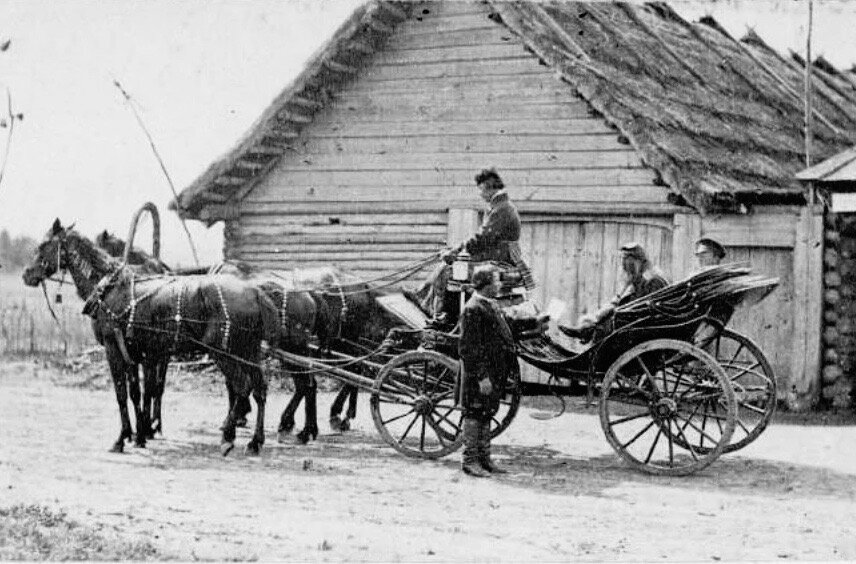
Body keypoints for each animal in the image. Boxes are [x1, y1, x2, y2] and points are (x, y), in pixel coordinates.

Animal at [23, 218, 280, 456]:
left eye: (44, 244)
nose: (26, 274)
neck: (109, 289)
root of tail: (255, 292)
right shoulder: (135, 352)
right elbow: (137, 393)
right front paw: (139, 434)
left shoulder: (114, 349)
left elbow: (122, 394)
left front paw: (123, 437)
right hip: (248, 351)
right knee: (259, 388)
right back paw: (255, 441)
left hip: (225, 352)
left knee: (242, 387)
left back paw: (228, 435)